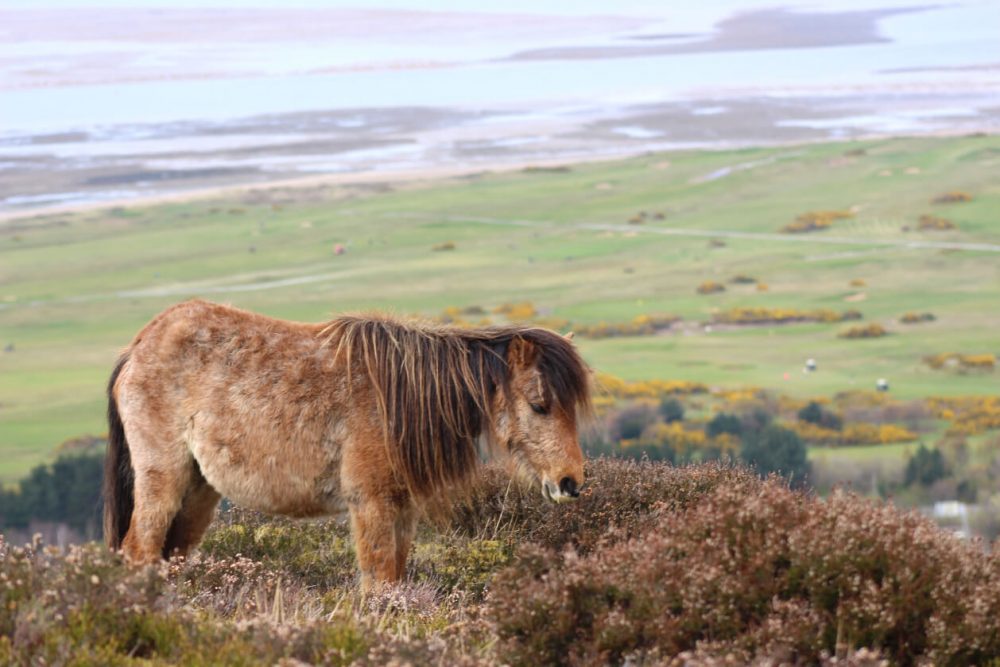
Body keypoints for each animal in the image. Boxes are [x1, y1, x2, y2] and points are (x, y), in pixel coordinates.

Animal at [107, 300, 592, 588]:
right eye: (539, 405)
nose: (570, 483)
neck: (400, 396)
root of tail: (137, 347)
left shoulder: (401, 509)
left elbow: (395, 577)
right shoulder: (370, 505)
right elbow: (378, 580)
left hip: (198, 492)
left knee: (171, 554)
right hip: (162, 480)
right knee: (140, 552)